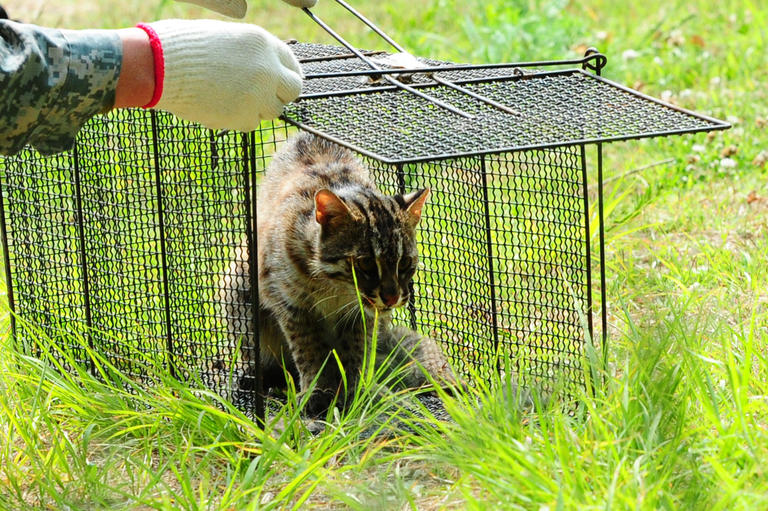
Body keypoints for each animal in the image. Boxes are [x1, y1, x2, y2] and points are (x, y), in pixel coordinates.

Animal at [219, 133, 456, 416]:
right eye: (366, 263)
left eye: (405, 263)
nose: (391, 298)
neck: (334, 287)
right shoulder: (292, 304)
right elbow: (310, 350)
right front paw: (318, 390)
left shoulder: (361, 315)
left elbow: (354, 350)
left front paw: (353, 388)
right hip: (239, 283)